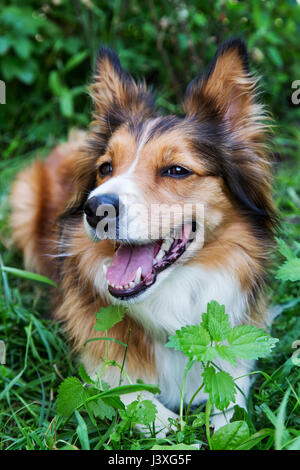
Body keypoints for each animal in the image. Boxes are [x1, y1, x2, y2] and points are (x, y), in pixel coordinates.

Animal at [10, 38, 276, 436]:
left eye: (177, 170)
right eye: (105, 168)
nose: (96, 208)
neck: (172, 301)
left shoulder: (238, 347)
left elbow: (231, 401)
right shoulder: (98, 363)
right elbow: (138, 404)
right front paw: (178, 429)